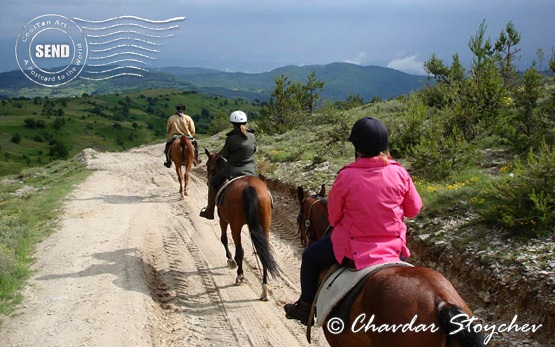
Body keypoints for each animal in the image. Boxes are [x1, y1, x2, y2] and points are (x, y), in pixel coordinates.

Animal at [204, 150, 278, 302]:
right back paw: (264, 289)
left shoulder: (223, 220)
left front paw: (230, 260)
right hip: (264, 226)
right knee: (264, 253)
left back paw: (240, 275)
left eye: (208, 165)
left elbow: (223, 239)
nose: (208, 180)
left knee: (240, 251)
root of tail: (250, 187)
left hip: (235, 226)